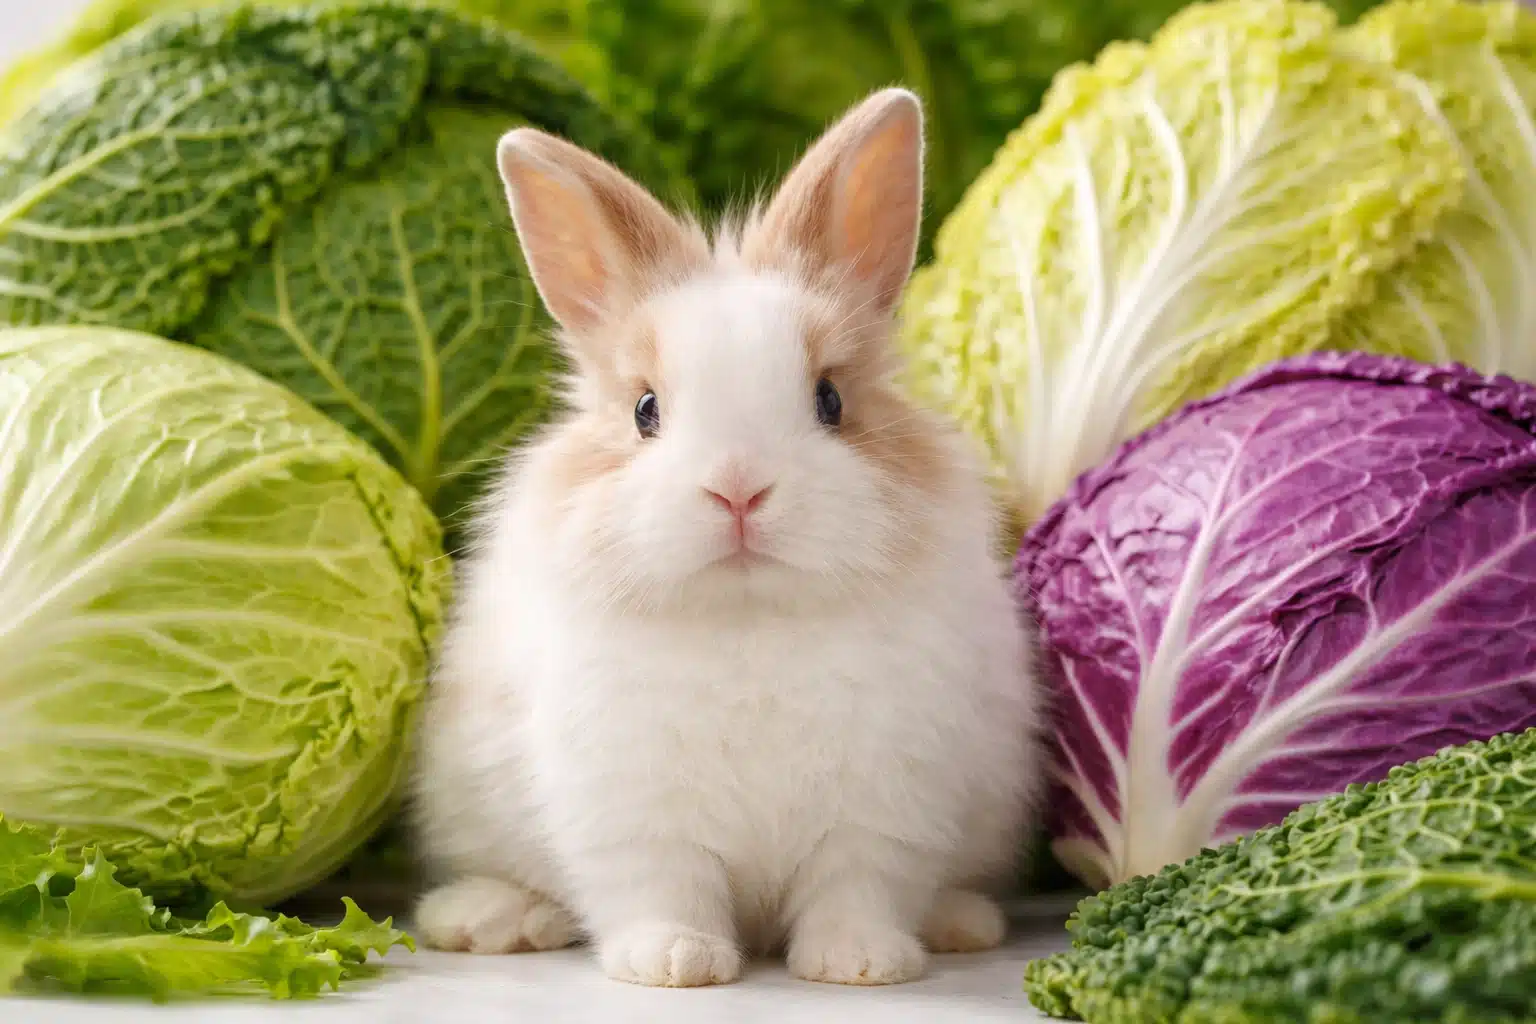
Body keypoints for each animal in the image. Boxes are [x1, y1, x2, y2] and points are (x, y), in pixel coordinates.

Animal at [410, 87, 1045, 989]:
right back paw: (485, 919)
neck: (748, 618)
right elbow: (661, 884)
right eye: (645, 410)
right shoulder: (630, 807)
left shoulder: (887, 804)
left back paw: (961, 923)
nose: (739, 489)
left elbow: (859, 883)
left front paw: (859, 964)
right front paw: (676, 963)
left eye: (829, 400)